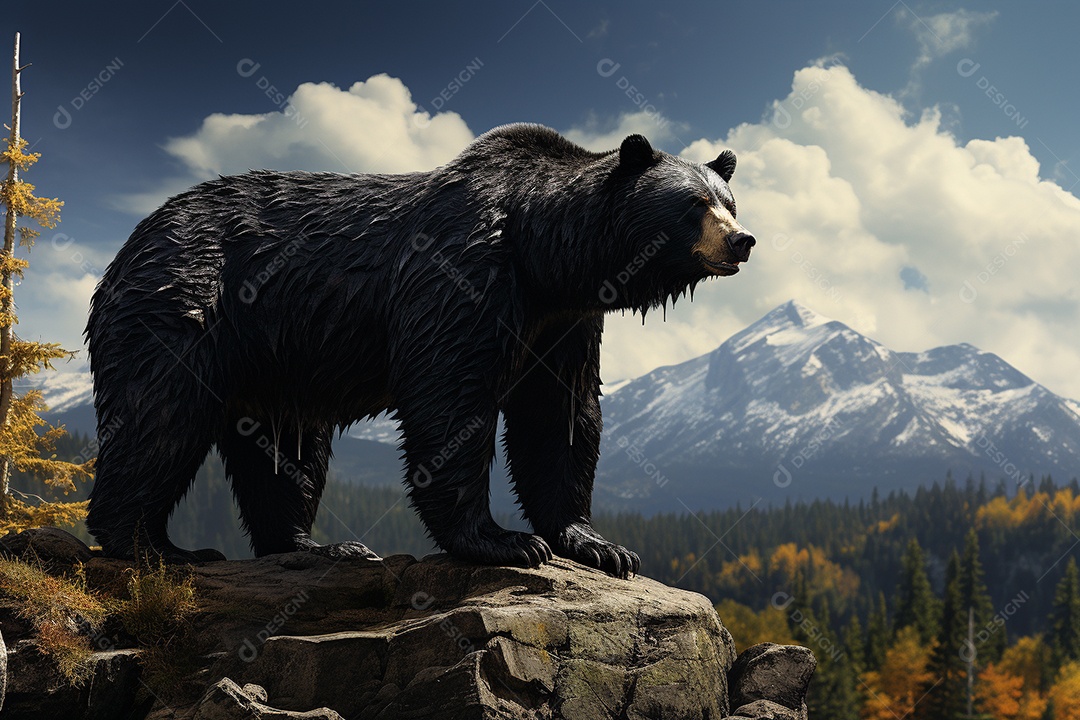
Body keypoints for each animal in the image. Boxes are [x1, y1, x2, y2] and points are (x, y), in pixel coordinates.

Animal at [84, 124, 754, 579]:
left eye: (728, 201)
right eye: (693, 205)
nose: (743, 240)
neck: (544, 254)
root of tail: (133, 241)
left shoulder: (562, 323)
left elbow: (560, 416)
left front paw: (599, 544)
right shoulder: (462, 274)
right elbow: (450, 395)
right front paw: (504, 541)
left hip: (276, 355)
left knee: (288, 447)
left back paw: (316, 545)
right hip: (184, 302)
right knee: (160, 414)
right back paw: (153, 545)